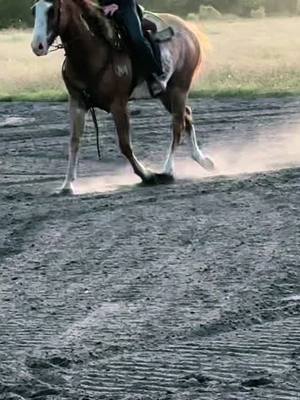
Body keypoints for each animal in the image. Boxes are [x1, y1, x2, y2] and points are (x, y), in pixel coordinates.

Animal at [31, 0, 213, 194]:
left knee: (177, 126)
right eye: (34, 10)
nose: (37, 46)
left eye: (51, 10)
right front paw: (67, 185)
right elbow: (74, 142)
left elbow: (125, 145)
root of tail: (188, 31)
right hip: (165, 94)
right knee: (187, 115)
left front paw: (147, 175)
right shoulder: (77, 102)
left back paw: (167, 171)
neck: (94, 50)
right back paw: (202, 160)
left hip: (179, 89)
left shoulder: (118, 104)